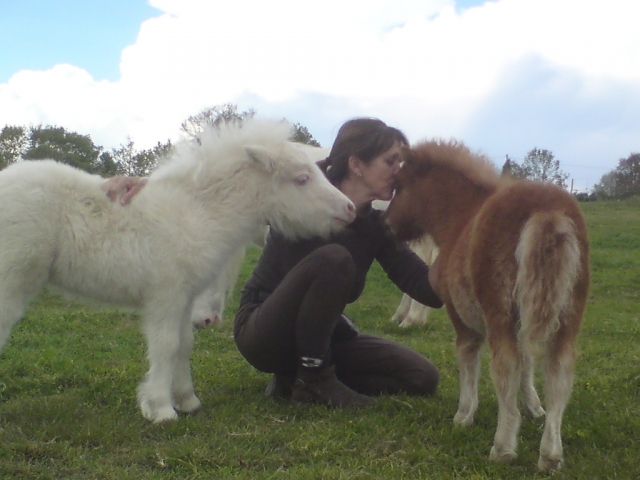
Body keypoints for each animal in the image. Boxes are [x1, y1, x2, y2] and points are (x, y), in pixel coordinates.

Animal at [0, 118, 356, 422]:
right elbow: (166, 345)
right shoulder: (166, 295)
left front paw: (187, 400)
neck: (197, 212)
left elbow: (185, 344)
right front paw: (160, 408)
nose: (350, 209)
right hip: (12, 279)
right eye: (302, 179)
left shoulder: (186, 296)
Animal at [384, 140, 592, 472]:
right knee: (559, 373)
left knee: (505, 365)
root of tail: (548, 212)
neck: (460, 217)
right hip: (567, 315)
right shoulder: (526, 320)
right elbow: (529, 362)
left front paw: (464, 414)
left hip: (500, 313)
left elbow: (469, 359)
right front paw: (535, 407)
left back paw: (503, 447)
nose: (386, 225)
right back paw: (550, 455)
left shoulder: (462, 316)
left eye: (399, 186)